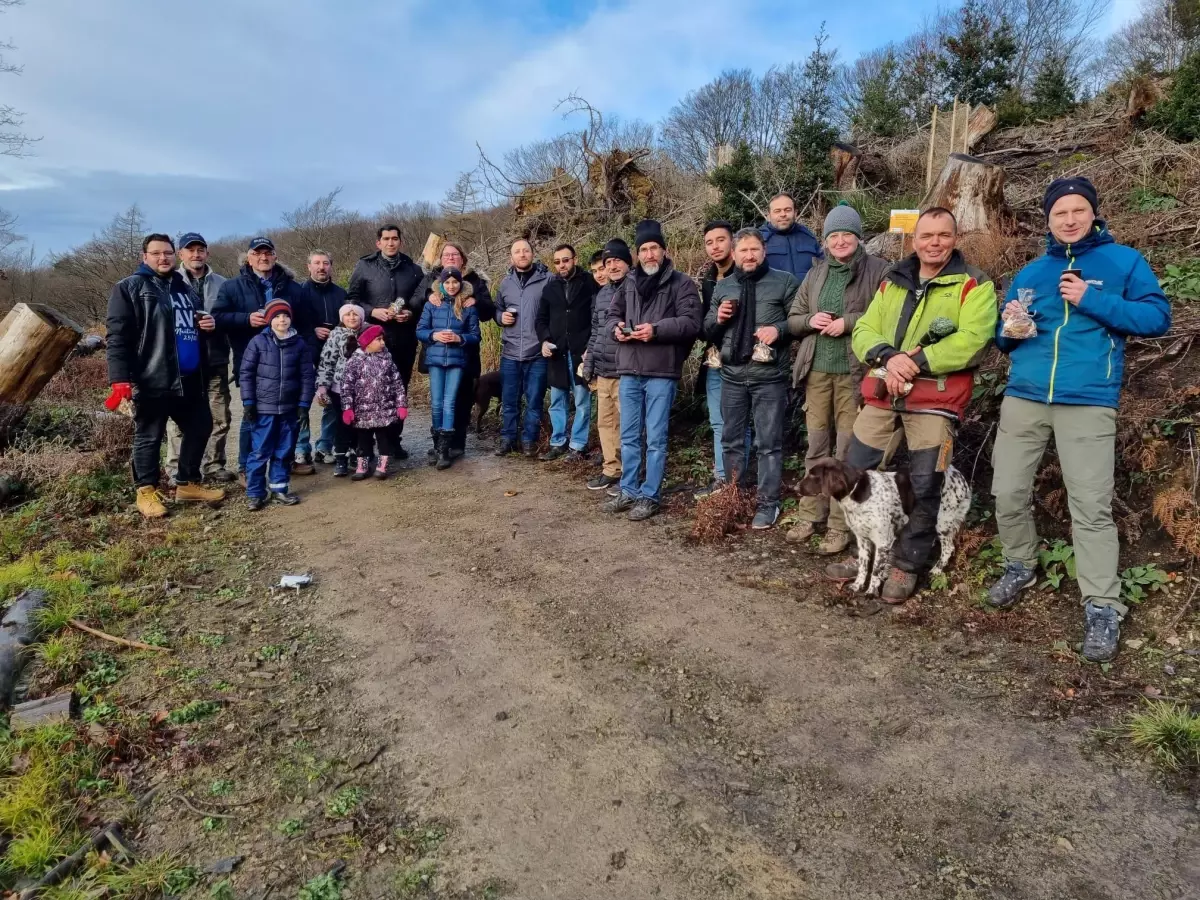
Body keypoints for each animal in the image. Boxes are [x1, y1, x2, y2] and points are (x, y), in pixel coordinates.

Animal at [796, 458, 974, 600]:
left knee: (948, 547)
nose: (795, 488)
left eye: (813, 475)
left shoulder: (883, 541)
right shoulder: (863, 539)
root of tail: (960, 476)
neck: (857, 493)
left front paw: (871, 591)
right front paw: (857, 585)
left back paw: (936, 570)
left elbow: (875, 569)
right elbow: (863, 566)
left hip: (943, 521)